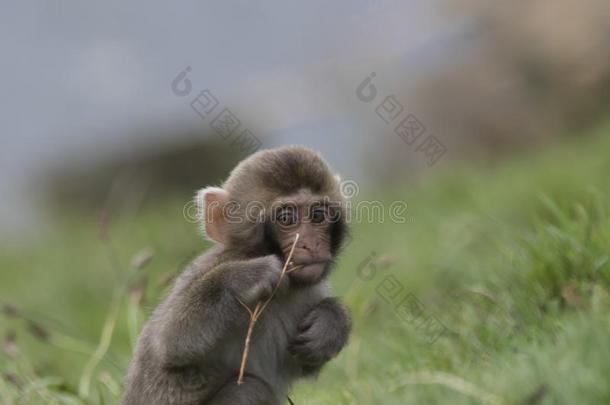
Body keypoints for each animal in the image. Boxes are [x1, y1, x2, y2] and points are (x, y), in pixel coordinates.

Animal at [123, 146, 350, 404]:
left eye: (318, 215)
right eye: (286, 218)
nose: (310, 244)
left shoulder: (310, 292)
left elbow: (305, 364)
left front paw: (332, 322)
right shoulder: (211, 265)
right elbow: (169, 340)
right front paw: (244, 278)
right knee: (250, 388)